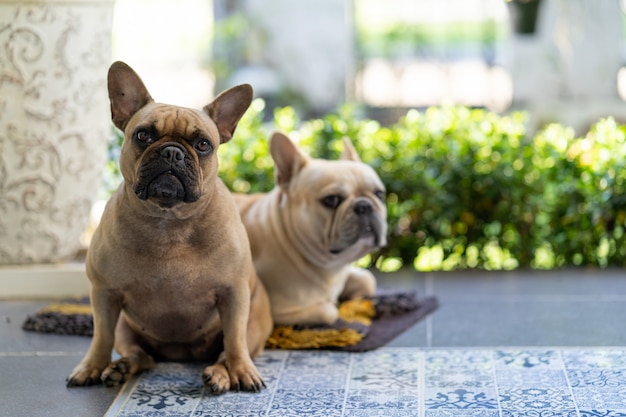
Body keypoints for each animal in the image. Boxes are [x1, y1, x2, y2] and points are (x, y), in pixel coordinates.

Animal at [66, 61, 270, 394]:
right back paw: (121, 368)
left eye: (203, 144)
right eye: (143, 135)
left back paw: (220, 375)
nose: (172, 151)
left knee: (226, 350)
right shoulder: (104, 295)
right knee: (142, 355)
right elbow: (101, 337)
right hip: (125, 328)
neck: (169, 221)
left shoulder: (234, 295)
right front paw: (92, 366)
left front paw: (241, 370)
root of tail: (180, 354)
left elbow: (235, 342)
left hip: (253, 324)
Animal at [234, 132, 386, 324]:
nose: (364, 205)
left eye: (380, 194)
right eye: (331, 200)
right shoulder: (279, 310)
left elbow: (368, 278)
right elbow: (329, 311)